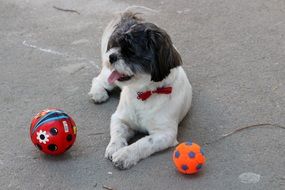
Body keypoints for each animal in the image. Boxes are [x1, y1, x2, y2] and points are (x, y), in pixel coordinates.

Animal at [88, 11, 191, 169]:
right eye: (114, 45)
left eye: (131, 51)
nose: (112, 56)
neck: (143, 92)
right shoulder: (120, 118)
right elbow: (117, 132)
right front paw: (115, 147)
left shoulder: (165, 134)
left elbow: (143, 143)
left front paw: (125, 154)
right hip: (108, 78)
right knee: (99, 79)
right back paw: (98, 93)